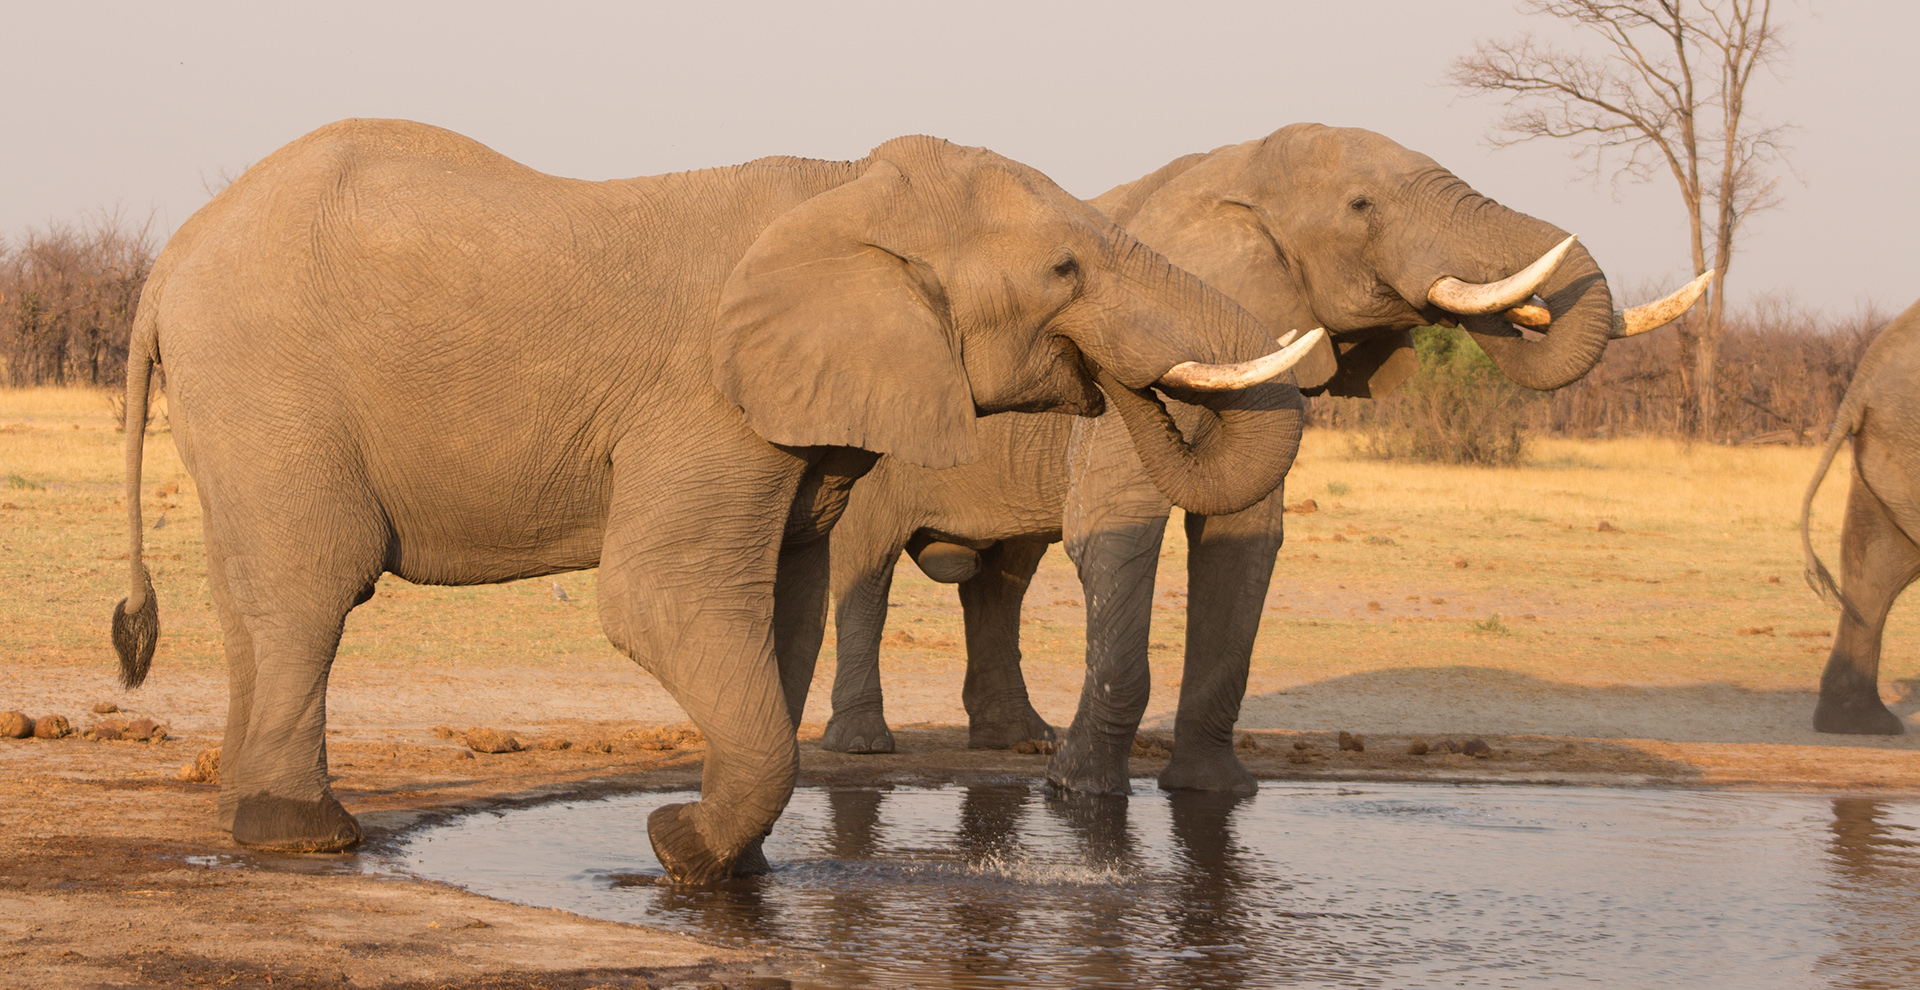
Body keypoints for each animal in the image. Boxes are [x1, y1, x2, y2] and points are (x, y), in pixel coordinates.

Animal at [107, 119, 1323, 882]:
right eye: (1065, 272)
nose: (1121, 389)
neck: (846, 184)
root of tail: (168, 263)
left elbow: (785, 609)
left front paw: (721, 862)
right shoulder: (704, 402)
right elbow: (662, 598)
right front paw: (677, 850)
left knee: (252, 593)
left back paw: (254, 814)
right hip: (270, 379)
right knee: (314, 585)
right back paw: (305, 838)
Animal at [813, 123, 1710, 796]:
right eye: (1361, 205)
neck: (1238, 167)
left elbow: (1246, 539)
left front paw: (1216, 792)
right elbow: (1114, 525)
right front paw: (1083, 795)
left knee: (1003, 578)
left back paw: (1017, 743)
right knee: (867, 558)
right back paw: (865, 746)